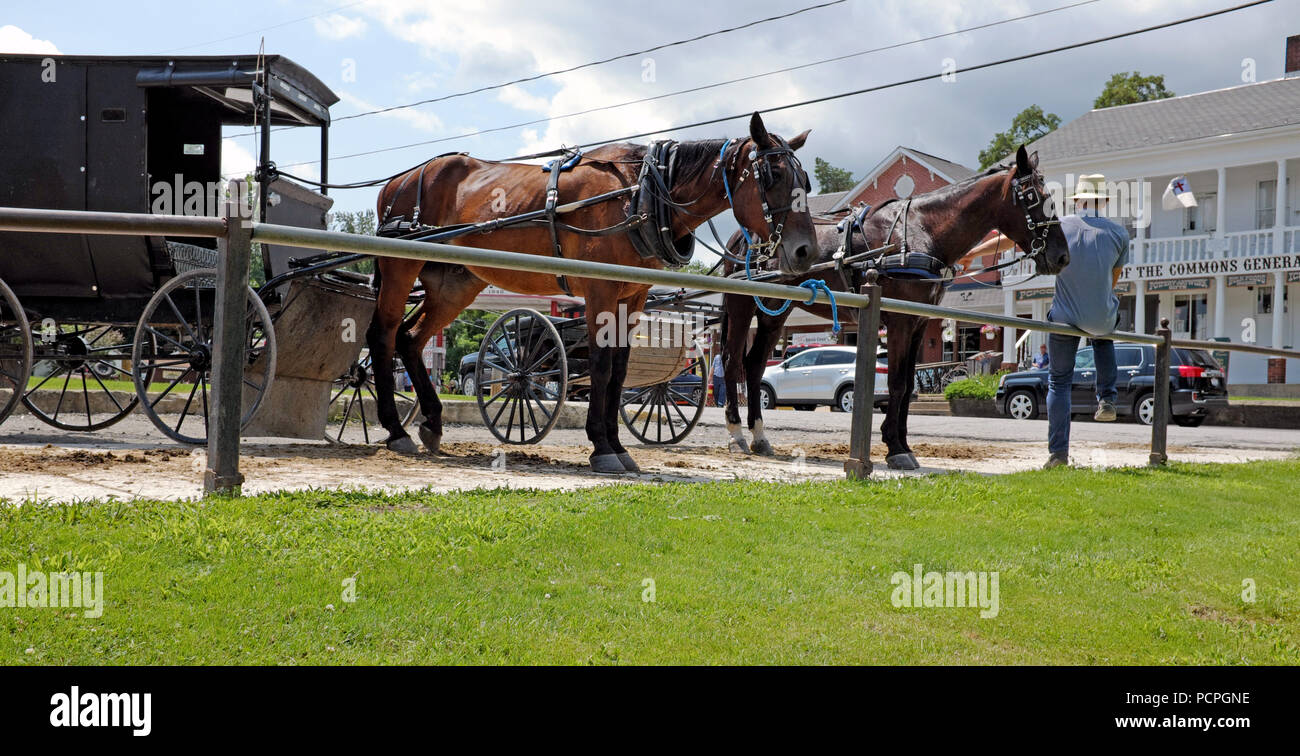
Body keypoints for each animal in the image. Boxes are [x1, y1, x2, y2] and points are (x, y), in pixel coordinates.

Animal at [366, 112, 811, 472]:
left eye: (804, 180)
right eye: (772, 176)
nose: (803, 251)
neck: (640, 195)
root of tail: (396, 182)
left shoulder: (632, 297)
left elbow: (620, 371)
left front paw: (617, 445)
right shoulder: (599, 290)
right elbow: (599, 366)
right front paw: (601, 447)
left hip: (454, 282)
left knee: (409, 338)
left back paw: (431, 422)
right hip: (401, 267)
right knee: (382, 335)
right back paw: (395, 429)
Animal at [722, 143, 1066, 467]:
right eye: (1034, 196)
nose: (1062, 255)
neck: (921, 232)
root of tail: (740, 236)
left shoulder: (918, 323)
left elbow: (909, 384)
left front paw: (901, 444)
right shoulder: (900, 321)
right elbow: (898, 384)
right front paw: (896, 448)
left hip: (774, 309)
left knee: (754, 365)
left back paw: (759, 436)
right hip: (741, 304)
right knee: (731, 361)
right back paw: (737, 434)